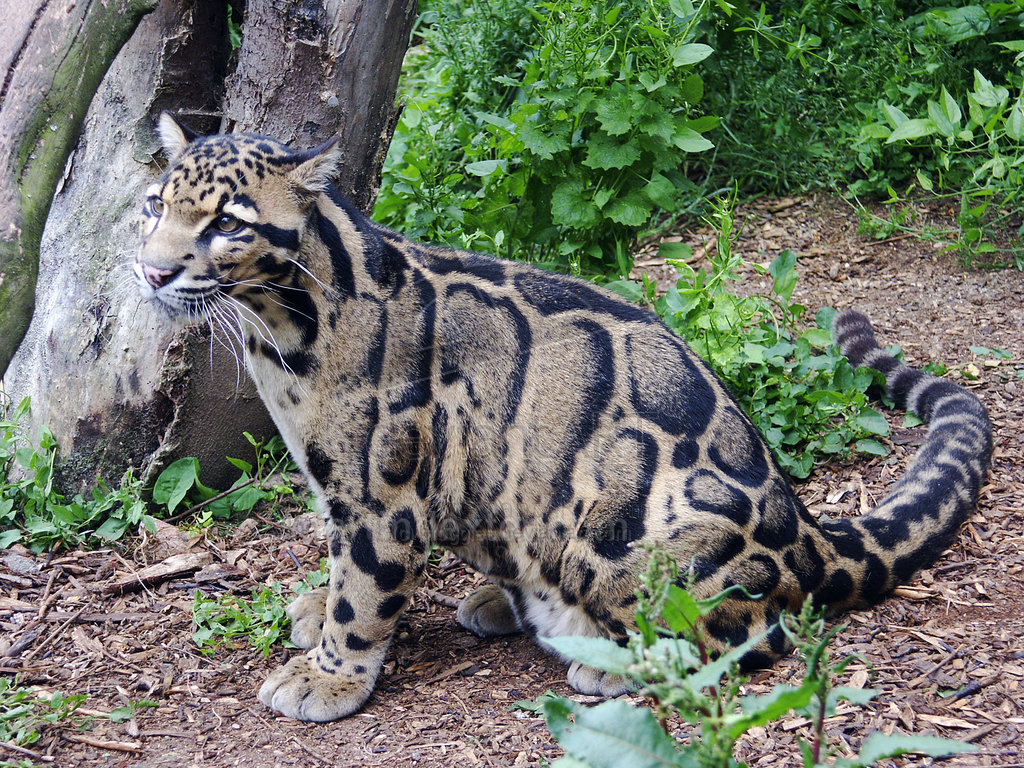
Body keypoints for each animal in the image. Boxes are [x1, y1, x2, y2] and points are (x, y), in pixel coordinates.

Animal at [136, 112, 991, 720]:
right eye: (155, 206)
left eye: (228, 223)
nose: (151, 270)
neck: (278, 334)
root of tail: (809, 531)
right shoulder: (338, 486)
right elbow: (336, 558)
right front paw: (317, 609)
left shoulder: (385, 491)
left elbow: (365, 588)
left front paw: (330, 675)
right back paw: (502, 600)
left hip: (622, 538)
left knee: (751, 632)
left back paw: (615, 658)